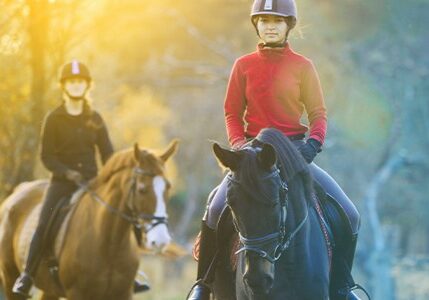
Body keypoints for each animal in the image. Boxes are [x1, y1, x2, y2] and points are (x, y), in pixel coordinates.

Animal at [0, 141, 177, 300]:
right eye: (142, 189)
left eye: (168, 187)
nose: (161, 240)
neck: (109, 243)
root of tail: (16, 192)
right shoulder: (77, 294)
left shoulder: (122, 294)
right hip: (9, 277)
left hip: (50, 289)